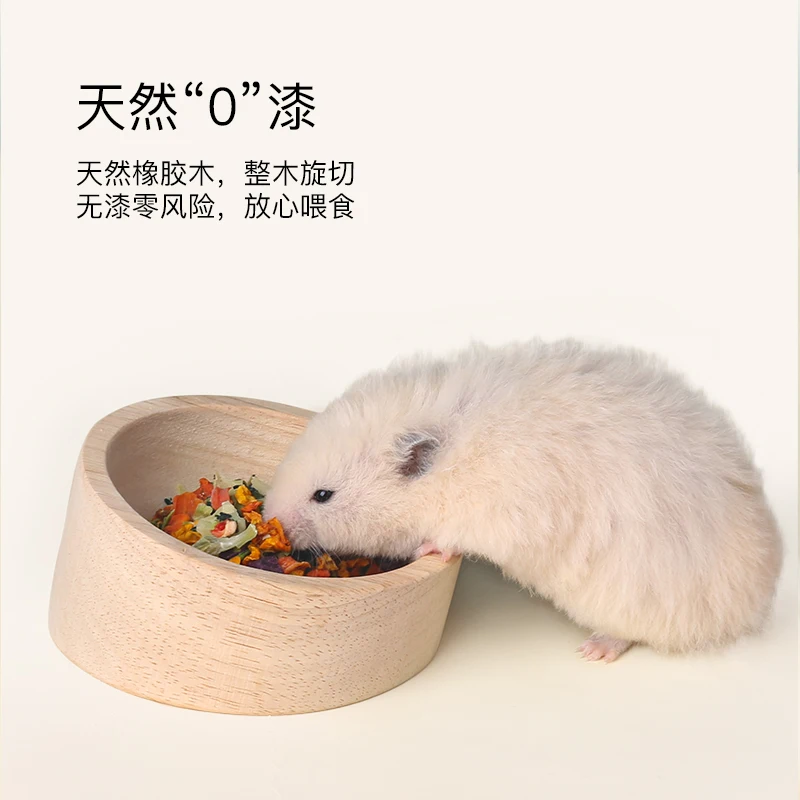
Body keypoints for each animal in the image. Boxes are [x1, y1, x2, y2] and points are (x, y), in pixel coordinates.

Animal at [263, 339, 783, 662]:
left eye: (323, 495)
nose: (273, 520)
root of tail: (757, 599)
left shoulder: (505, 514)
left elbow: (447, 538)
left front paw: (431, 549)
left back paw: (592, 652)